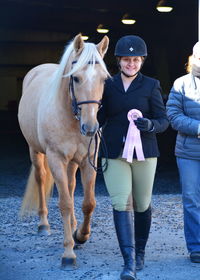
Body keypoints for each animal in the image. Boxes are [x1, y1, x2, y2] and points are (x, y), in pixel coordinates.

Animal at [18, 34, 109, 266]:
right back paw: (43, 225)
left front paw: (81, 235)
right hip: (35, 152)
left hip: (73, 162)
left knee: (70, 185)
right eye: (75, 78)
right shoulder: (56, 159)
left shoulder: (87, 160)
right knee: (41, 179)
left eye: (104, 79)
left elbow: (88, 203)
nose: (90, 127)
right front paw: (68, 253)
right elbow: (65, 204)